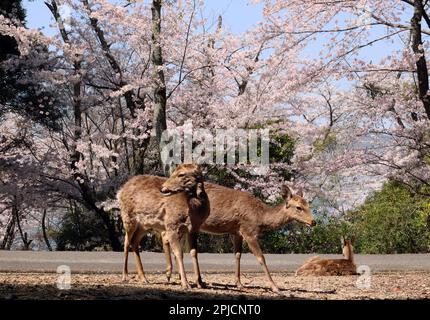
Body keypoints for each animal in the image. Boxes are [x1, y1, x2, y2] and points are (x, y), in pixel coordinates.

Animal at [161, 184, 316, 294]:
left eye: (308, 204)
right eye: (299, 207)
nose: (313, 222)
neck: (260, 217)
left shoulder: (237, 232)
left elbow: (237, 255)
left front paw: (239, 283)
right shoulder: (249, 231)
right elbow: (261, 257)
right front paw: (275, 287)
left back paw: (186, 278)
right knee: (167, 237)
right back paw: (173, 276)